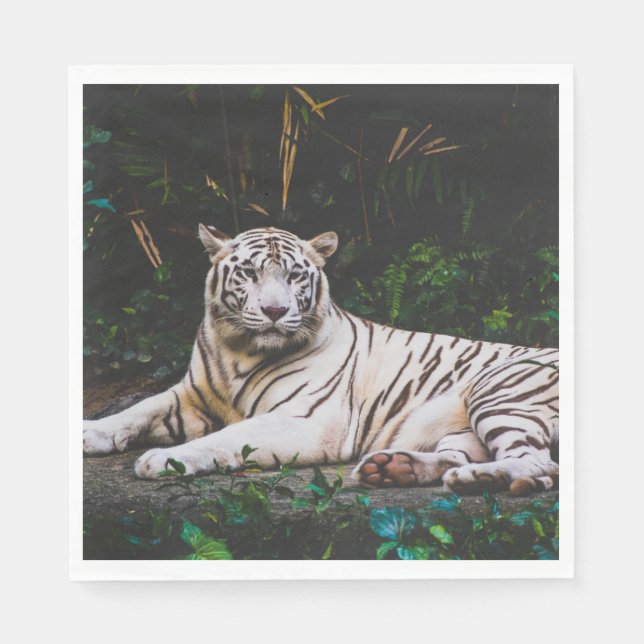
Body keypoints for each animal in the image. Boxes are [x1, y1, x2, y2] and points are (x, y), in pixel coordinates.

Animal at [83, 225, 559, 496]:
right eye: (250, 273)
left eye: (294, 275)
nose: (275, 311)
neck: (239, 348)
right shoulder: (191, 396)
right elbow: (139, 408)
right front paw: (91, 432)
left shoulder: (307, 421)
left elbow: (228, 436)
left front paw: (163, 460)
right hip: (460, 430)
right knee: (470, 456)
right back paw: (395, 470)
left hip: (498, 389)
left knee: (540, 464)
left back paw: (479, 480)